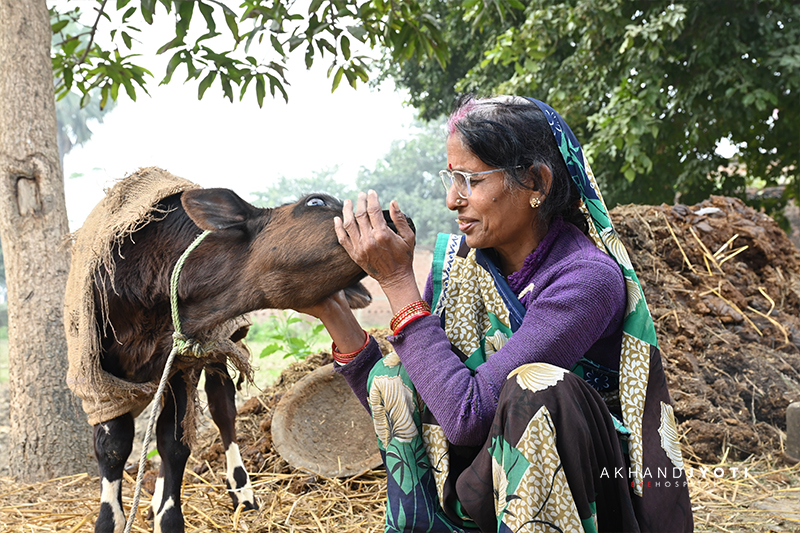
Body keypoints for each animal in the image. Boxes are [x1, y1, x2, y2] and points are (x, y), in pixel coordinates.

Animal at [65, 172, 408, 533]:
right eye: (316, 202)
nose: (397, 217)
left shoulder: (183, 362)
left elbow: (174, 442)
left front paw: (167, 517)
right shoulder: (95, 378)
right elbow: (114, 447)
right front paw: (111, 520)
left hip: (216, 354)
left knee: (222, 410)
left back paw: (239, 492)